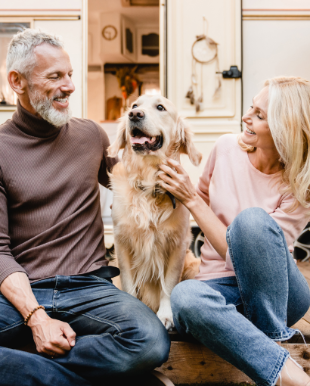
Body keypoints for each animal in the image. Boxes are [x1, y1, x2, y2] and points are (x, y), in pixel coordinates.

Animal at [108, 95, 201, 328]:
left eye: (160, 107)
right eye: (134, 106)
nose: (134, 115)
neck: (149, 185)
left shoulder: (178, 244)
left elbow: (169, 284)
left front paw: (166, 315)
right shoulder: (122, 242)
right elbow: (129, 284)